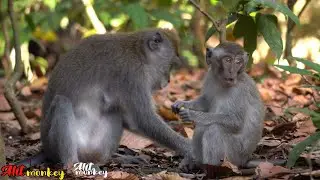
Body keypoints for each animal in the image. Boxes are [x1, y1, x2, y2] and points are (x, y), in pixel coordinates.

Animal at [22, 28, 191, 167]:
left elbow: (131, 120)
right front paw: (189, 148)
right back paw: (73, 165)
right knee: (61, 102)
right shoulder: (131, 76)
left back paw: (110, 159)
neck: (139, 54)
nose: (168, 80)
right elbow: (143, 119)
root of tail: (45, 150)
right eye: (170, 65)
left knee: (114, 111)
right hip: (54, 145)